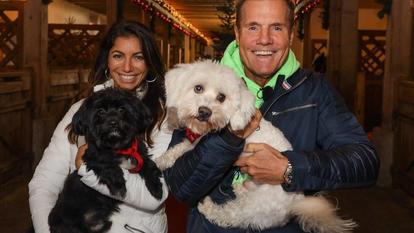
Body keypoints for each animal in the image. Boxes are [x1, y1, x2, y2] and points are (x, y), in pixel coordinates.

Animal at [48, 88, 163, 233]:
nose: (113, 122)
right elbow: (108, 165)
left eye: (122, 109)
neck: (117, 147)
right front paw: (119, 185)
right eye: (101, 111)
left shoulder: (140, 156)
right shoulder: (92, 157)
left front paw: (156, 187)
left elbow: (149, 166)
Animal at [155, 60, 356, 233]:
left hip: (254, 209)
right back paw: (239, 189)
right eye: (198, 88)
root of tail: (296, 201)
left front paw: (160, 161)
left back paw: (208, 207)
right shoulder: (198, 140)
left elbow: (185, 148)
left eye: (221, 97)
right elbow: (181, 147)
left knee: (230, 216)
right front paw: (163, 158)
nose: (205, 111)